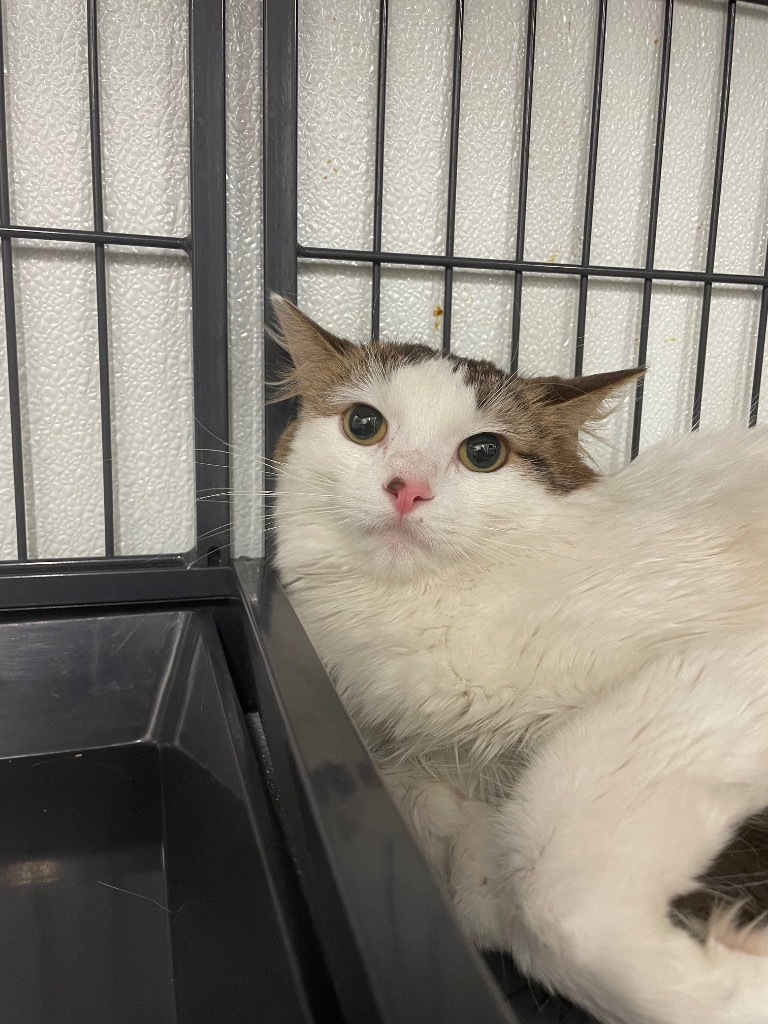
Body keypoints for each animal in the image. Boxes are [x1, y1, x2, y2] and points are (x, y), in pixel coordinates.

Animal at [268, 296, 768, 1024]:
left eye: (484, 453)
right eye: (364, 424)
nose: (406, 489)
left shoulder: (705, 681)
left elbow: (550, 897)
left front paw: (731, 985)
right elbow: (476, 885)